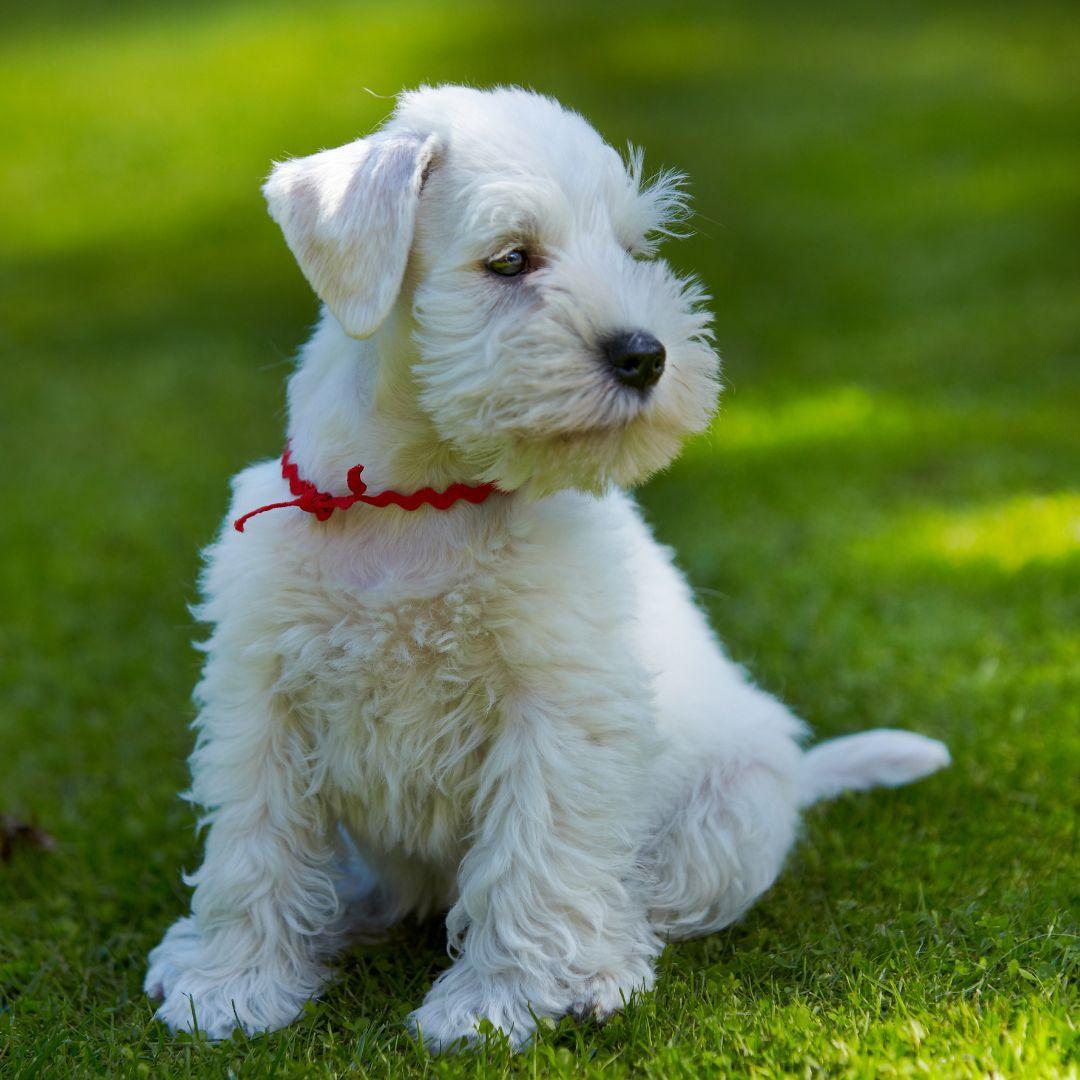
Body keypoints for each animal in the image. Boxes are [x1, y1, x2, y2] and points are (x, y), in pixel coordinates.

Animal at [143, 86, 946, 1054]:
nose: (646, 355)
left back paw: (600, 974)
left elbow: (534, 859)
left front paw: (499, 1002)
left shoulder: (554, 710)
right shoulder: (263, 696)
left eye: (634, 250)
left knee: (636, 901)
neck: (420, 500)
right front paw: (229, 986)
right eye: (511, 259)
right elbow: (253, 848)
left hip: (727, 809)